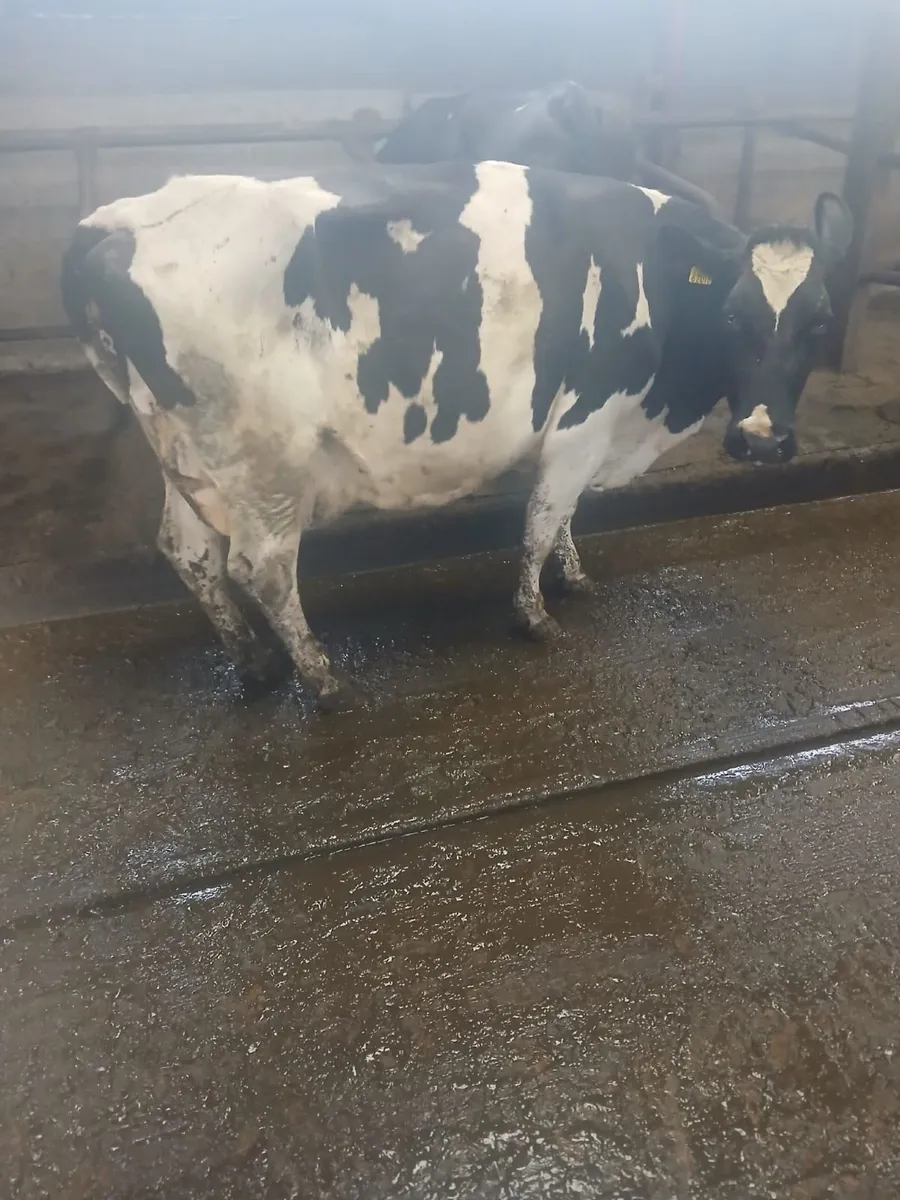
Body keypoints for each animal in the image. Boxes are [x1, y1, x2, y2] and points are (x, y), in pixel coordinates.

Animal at [61, 162, 852, 710]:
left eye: (818, 322)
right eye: (733, 317)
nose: (761, 440)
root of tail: (120, 223)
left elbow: (564, 517)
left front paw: (574, 577)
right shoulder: (584, 416)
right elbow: (541, 519)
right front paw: (534, 617)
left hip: (186, 451)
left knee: (188, 553)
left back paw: (254, 665)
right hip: (265, 461)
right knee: (262, 569)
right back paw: (326, 684)